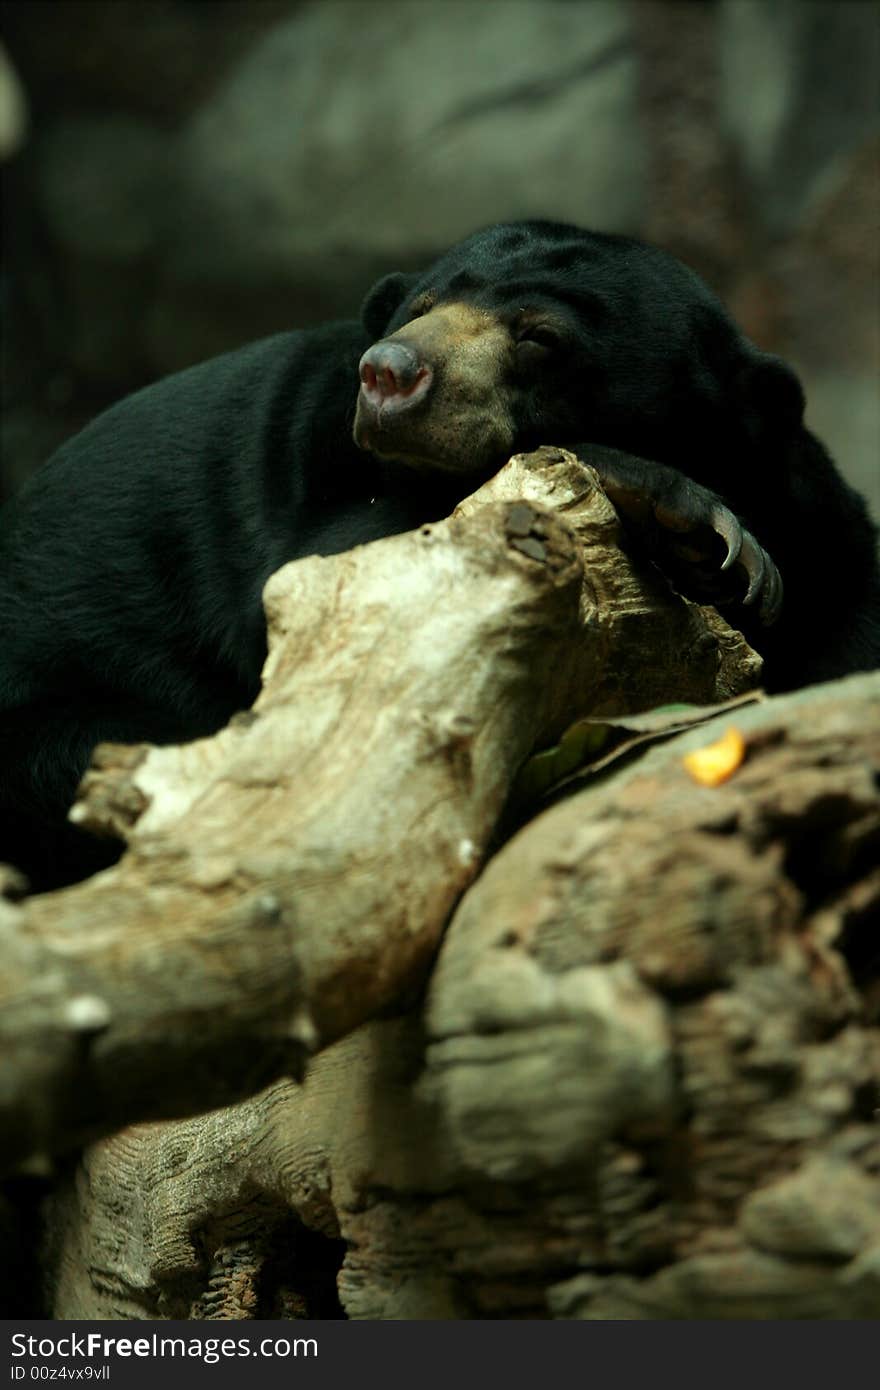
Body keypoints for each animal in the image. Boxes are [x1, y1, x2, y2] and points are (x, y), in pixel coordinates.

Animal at [0, 219, 873, 889]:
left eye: (540, 336)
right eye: (415, 309)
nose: (389, 372)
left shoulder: (824, 531)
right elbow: (319, 581)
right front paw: (696, 522)